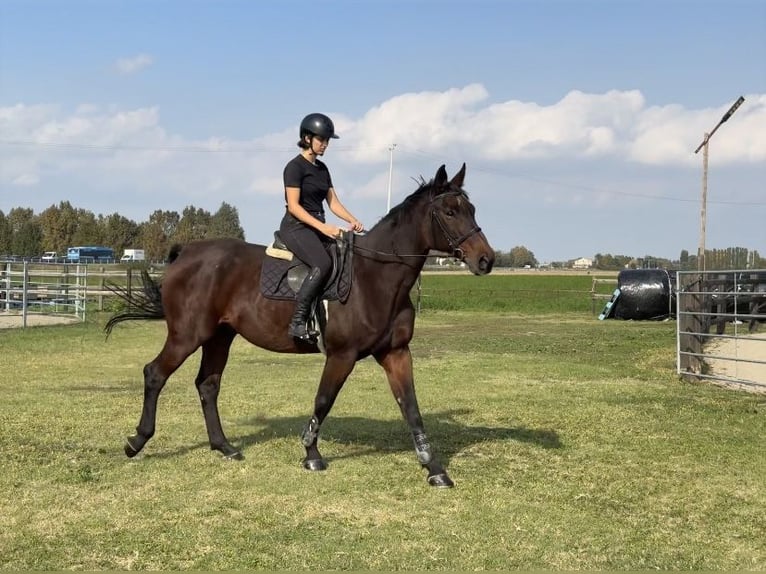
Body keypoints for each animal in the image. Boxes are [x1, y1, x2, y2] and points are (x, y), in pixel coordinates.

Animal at [105, 163, 495, 487]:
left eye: (473, 210)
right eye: (449, 212)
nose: (486, 260)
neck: (376, 278)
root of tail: (186, 253)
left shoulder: (396, 352)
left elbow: (411, 407)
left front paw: (434, 468)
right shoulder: (342, 355)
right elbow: (323, 400)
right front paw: (311, 454)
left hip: (219, 337)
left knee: (208, 385)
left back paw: (224, 446)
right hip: (187, 335)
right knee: (155, 373)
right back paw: (136, 441)